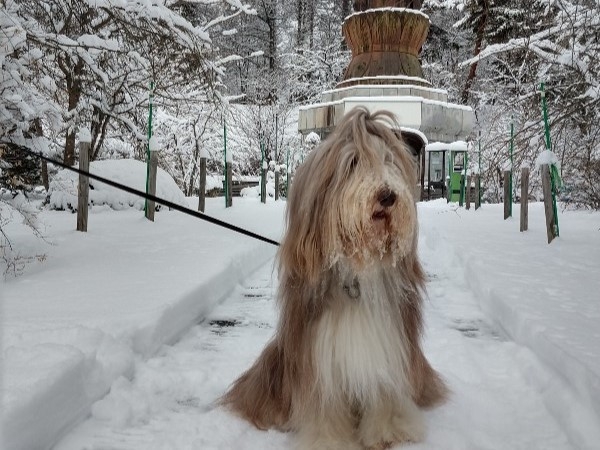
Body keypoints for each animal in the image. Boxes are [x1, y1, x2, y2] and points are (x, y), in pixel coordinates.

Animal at [223, 107, 448, 448]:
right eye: (353, 163)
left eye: (389, 160)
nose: (387, 195)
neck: (357, 270)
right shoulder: (316, 357)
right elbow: (324, 406)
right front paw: (328, 439)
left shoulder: (389, 346)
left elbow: (384, 392)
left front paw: (388, 430)